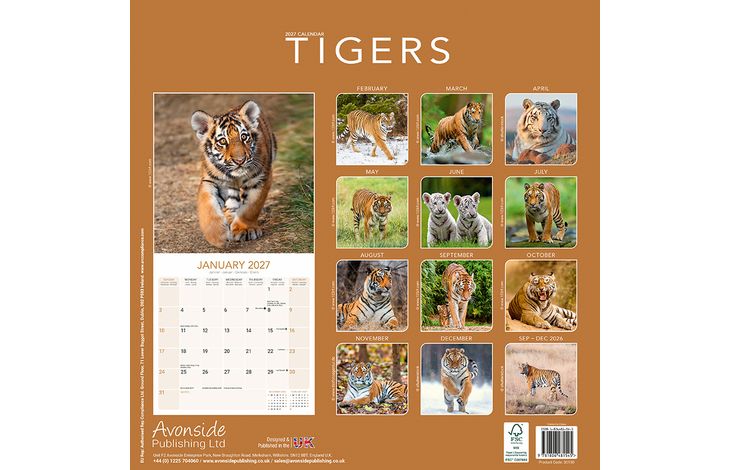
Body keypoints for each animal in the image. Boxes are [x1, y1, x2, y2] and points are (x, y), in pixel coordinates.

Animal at [190, 101, 276, 248]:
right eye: (223, 141)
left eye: (244, 137)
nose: (240, 160)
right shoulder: (211, 181)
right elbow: (207, 206)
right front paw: (217, 236)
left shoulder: (260, 179)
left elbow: (251, 207)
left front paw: (245, 229)